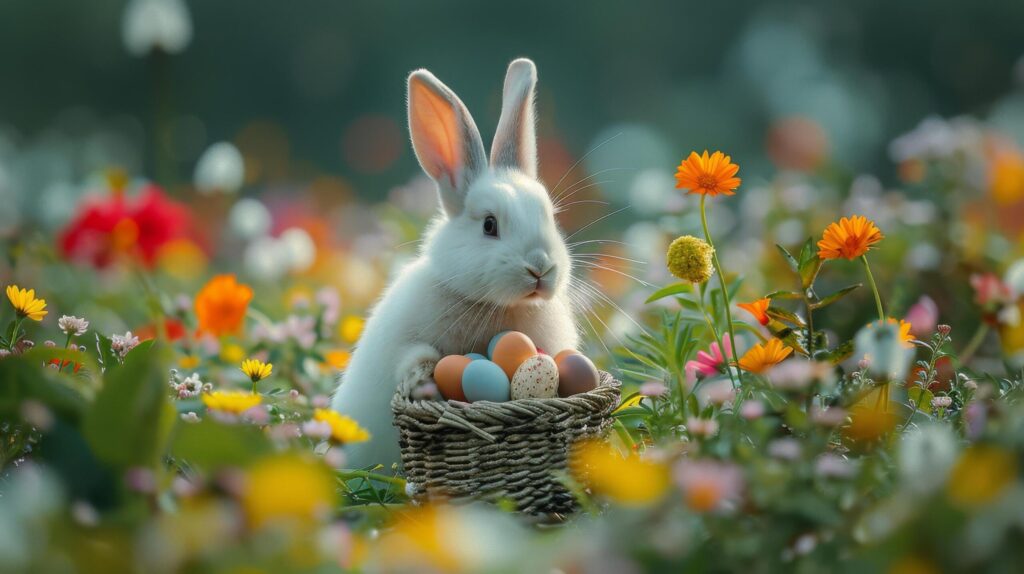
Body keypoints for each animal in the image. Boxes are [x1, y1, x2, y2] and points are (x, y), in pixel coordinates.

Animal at [333, 58, 581, 470]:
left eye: (551, 216)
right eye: (489, 225)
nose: (540, 268)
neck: (497, 309)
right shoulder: (405, 343)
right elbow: (414, 357)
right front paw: (424, 385)